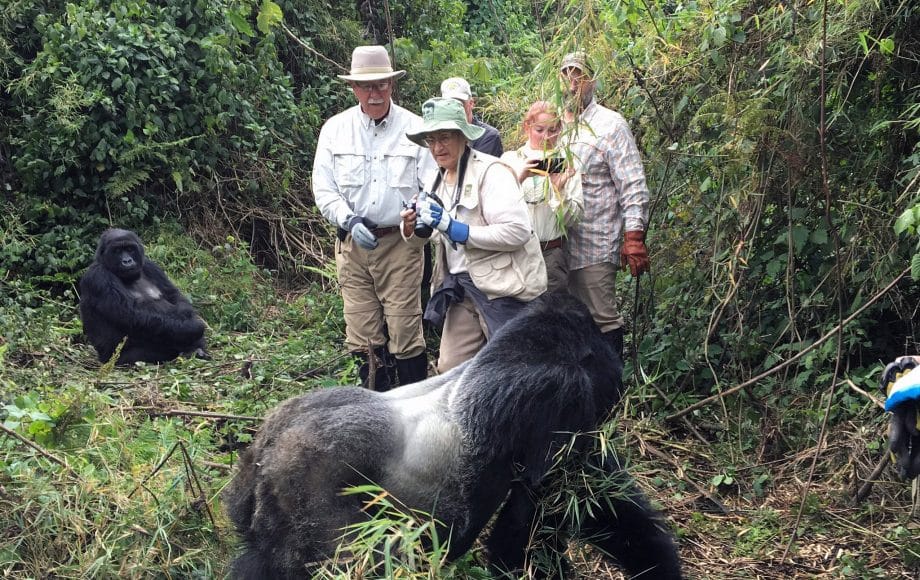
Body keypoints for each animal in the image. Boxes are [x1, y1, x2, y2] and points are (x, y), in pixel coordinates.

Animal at [78, 229, 208, 364]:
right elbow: (130, 315)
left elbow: (175, 296)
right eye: (117, 251)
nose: (127, 261)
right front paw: (191, 328)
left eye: (130, 249)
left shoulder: (150, 266)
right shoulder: (98, 276)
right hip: (115, 359)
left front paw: (187, 317)